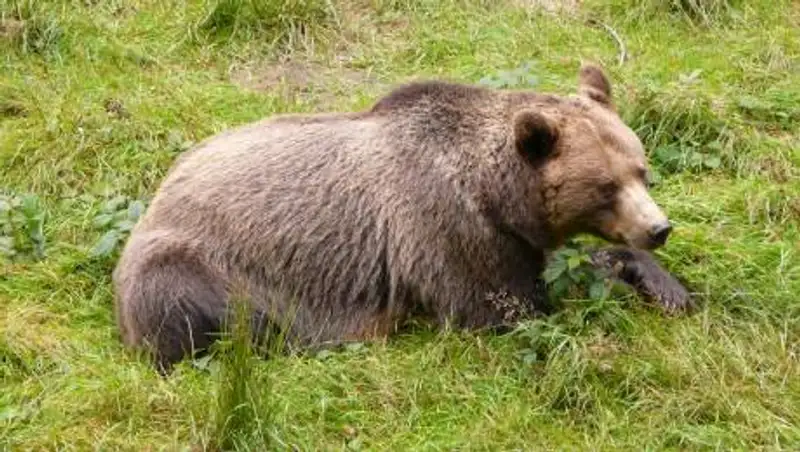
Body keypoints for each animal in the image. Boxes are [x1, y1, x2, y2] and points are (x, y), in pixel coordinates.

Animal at [112, 63, 692, 374]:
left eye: (641, 170)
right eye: (605, 187)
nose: (657, 228)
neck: (496, 193)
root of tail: (158, 194)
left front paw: (668, 287)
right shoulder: (448, 228)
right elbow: (507, 307)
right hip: (197, 265)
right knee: (211, 318)